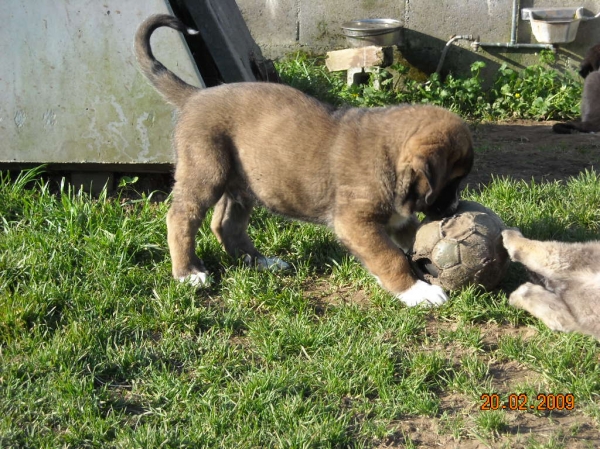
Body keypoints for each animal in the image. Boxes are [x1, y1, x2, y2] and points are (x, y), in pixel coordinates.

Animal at [135, 15, 474, 306]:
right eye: (452, 180)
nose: (455, 208)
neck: (389, 159)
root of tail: (194, 95)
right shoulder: (356, 224)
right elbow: (390, 258)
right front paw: (417, 291)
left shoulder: (394, 219)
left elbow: (409, 238)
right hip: (206, 171)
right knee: (181, 218)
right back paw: (189, 273)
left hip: (243, 185)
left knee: (225, 225)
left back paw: (262, 262)